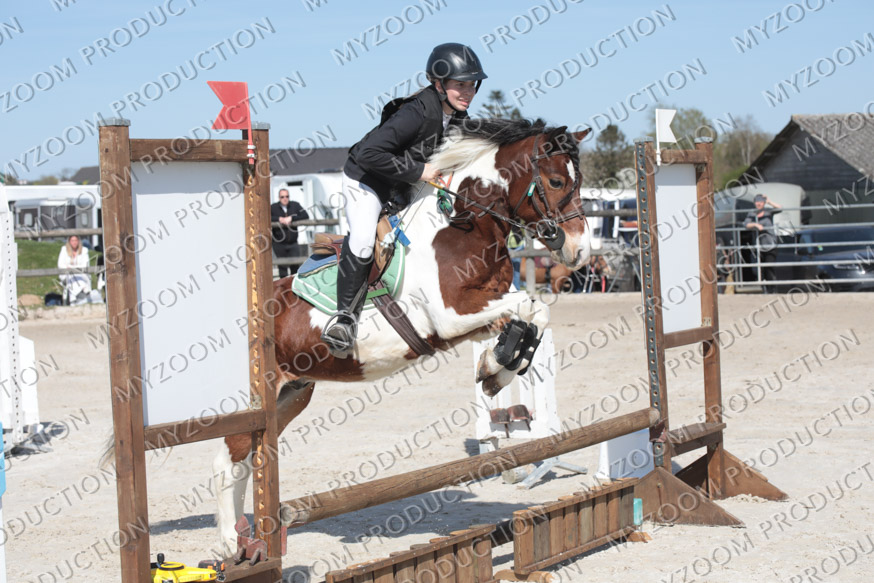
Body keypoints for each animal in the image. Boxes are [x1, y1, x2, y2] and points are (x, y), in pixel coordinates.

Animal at [213, 118, 592, 552]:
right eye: (557, 181)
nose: (581, 252)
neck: (462, 227)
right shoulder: (450, 316)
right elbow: (530, 308)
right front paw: (497, 367)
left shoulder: (482, 314)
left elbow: (532, 314)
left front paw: (495, 370)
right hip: (254, 399)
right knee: (228, 461)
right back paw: (228, 544)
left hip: (291, 394)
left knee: (245, 461)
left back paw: (245, 538)